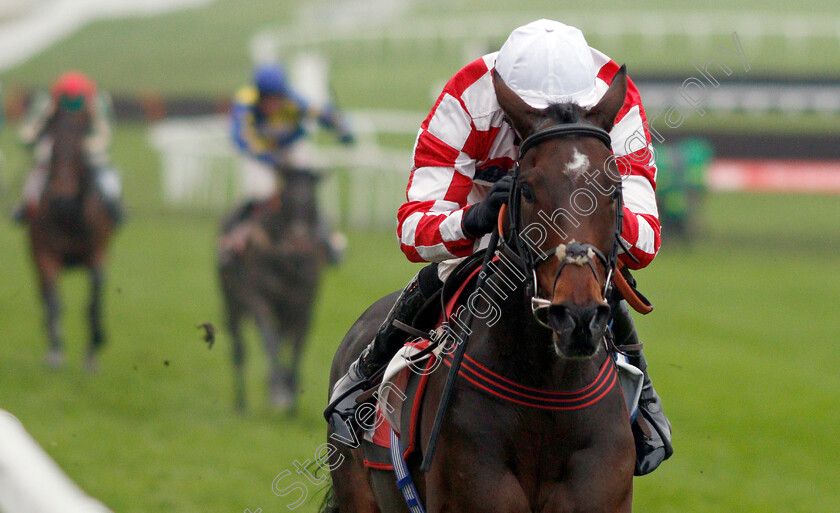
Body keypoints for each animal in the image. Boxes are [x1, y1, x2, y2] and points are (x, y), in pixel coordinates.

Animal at [27, 105, 117, 368]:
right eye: (53, 148)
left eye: (79, 149)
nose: (62, 196)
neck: (68, 216)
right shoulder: (45, 255)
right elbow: (55, 302)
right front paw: (56, 352)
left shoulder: (97, 254)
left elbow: (93, 302)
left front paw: (93, 349)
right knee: (45, 298)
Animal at [218, 168, 326, 412]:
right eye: (285, 200)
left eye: (312, 203)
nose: (299, 239)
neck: (287, 260)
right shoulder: (259, 299)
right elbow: (270, 341)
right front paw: (279, 393)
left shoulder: (303, 305)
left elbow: (296, 348)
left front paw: (290, 396)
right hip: (231, 303)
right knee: (239, 350)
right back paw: (241, 403)